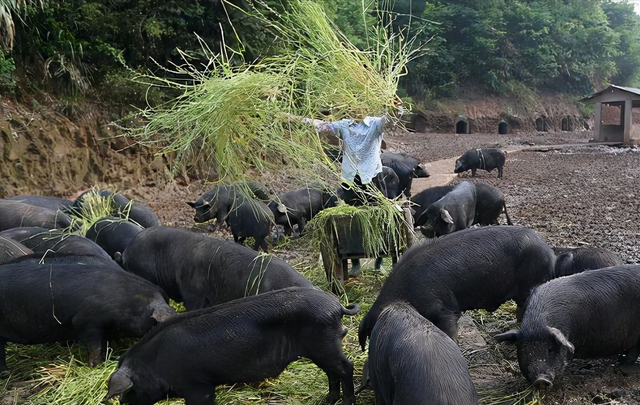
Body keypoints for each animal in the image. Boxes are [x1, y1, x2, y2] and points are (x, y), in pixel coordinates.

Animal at [107, 288, 362, 404]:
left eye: (129, 391)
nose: (122, 402)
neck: (157, 363)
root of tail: (336, 306)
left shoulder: (197, 385)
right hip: (320, 348)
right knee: (332, 373)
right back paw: (327, 400)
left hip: (324, 343)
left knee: (345, 367)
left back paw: (347, 401)